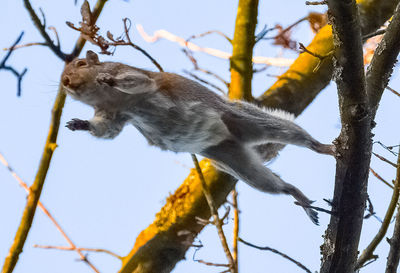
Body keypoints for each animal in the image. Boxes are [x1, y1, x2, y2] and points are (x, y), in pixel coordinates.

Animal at [61, 50, 334, 223]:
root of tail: (230, 137)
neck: (109, 100)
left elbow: (136, 81)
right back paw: (299, 197)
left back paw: (322, 147)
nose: (65, 82)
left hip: (247, 120)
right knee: (275, 184)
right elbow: (106, 131)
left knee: (293, 135)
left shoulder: (136, 78)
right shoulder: (113, 116)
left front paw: (108, 78)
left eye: (82, 64)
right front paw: (80, 124)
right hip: (236, 162)